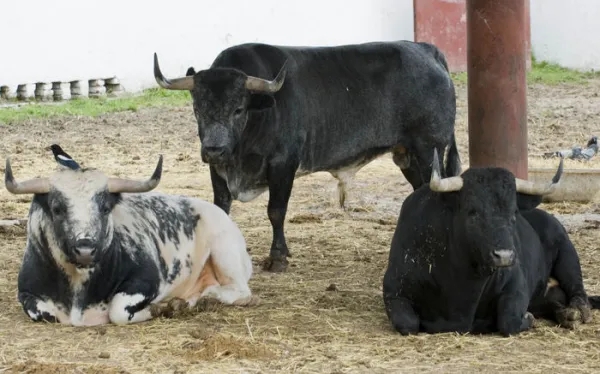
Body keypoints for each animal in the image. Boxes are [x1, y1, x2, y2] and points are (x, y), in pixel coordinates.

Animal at [4, 154, 255, 324]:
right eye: (57, 209)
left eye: (105, 208)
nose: (85, 249)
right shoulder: (27, 294)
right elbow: (44, 313)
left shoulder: (147, 281)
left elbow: (118, 310)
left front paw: (161, 307)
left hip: (225, 253)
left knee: (240, 292)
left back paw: (206, 298)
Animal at [154, 41, 460, 272]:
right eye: (197, 108)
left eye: (238, 109)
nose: (214, 149)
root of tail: (426, 50)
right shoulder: (218, 170)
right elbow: (221, 208)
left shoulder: (282, 165)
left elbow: (276, 211)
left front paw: (278, 257)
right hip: (408, 156)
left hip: (429, 150)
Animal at [384, 150, 600, 338]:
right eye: (473, 212)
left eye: (514, 212)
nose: (504, 256)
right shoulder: (394, 292)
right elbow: (408, 324)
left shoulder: (516, 286)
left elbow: (509, 321)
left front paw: (527, 318)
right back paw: (565, 314)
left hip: (567, 255)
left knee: (577, 290)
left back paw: (575, 311)